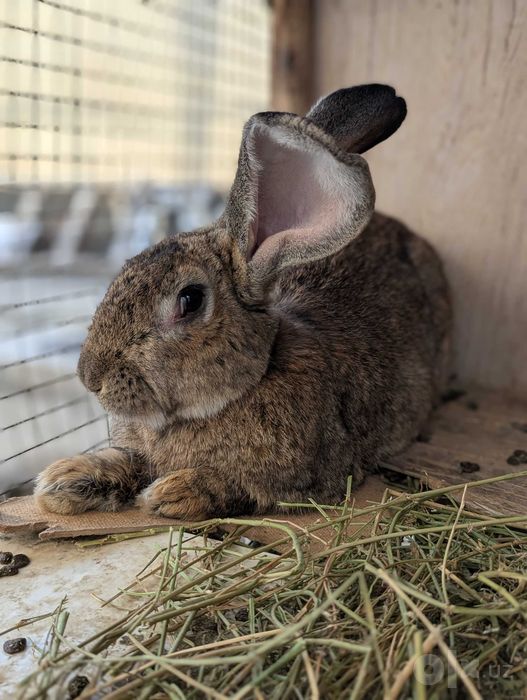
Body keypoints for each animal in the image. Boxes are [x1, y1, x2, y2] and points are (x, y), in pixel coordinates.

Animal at [34, 84, 451, 519]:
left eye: (190, 300)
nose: (89, 376)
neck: (253, 376)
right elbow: (127, 460)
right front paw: (66, 481)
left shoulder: (307, 480)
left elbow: (238, 488)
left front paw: (175, 492)